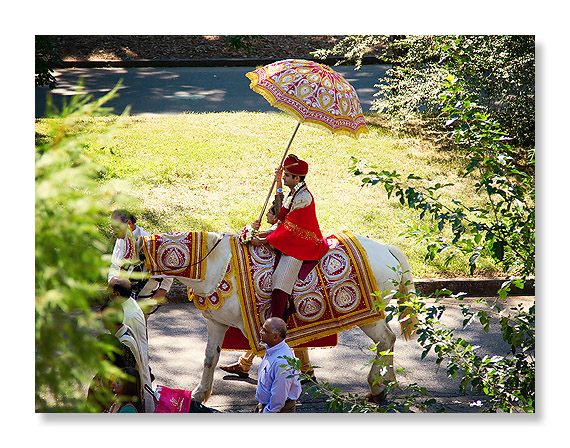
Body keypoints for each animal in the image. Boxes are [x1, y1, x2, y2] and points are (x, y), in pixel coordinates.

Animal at [137, 231, 417, 404]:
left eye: (135, 267)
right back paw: (387, 382)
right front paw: (199, 393)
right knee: (388, 340)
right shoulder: (217, 322)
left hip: (370, 317)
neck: (218, 265)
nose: (138, 304)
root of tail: (387, 249)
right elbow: (210, 358)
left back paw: (378, 387)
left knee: (386, 340)